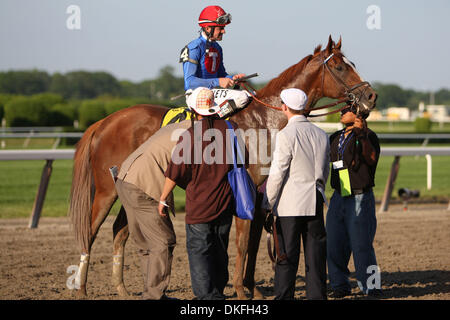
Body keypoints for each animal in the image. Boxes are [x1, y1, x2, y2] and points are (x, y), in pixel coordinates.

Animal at [67, 36, 376, 298]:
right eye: (339, 66)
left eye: (352, 64)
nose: (371, 96)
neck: (263, 121)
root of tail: (105, 121)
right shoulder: (245, 191)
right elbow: (241, 243)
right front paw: (239, 290)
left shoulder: (261, 195)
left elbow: (253, 243)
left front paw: (253, 289)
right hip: (106, 190)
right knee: (90, 231)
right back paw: (81, 289)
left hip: (134, 186)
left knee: (119, 230)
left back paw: (121, 289)